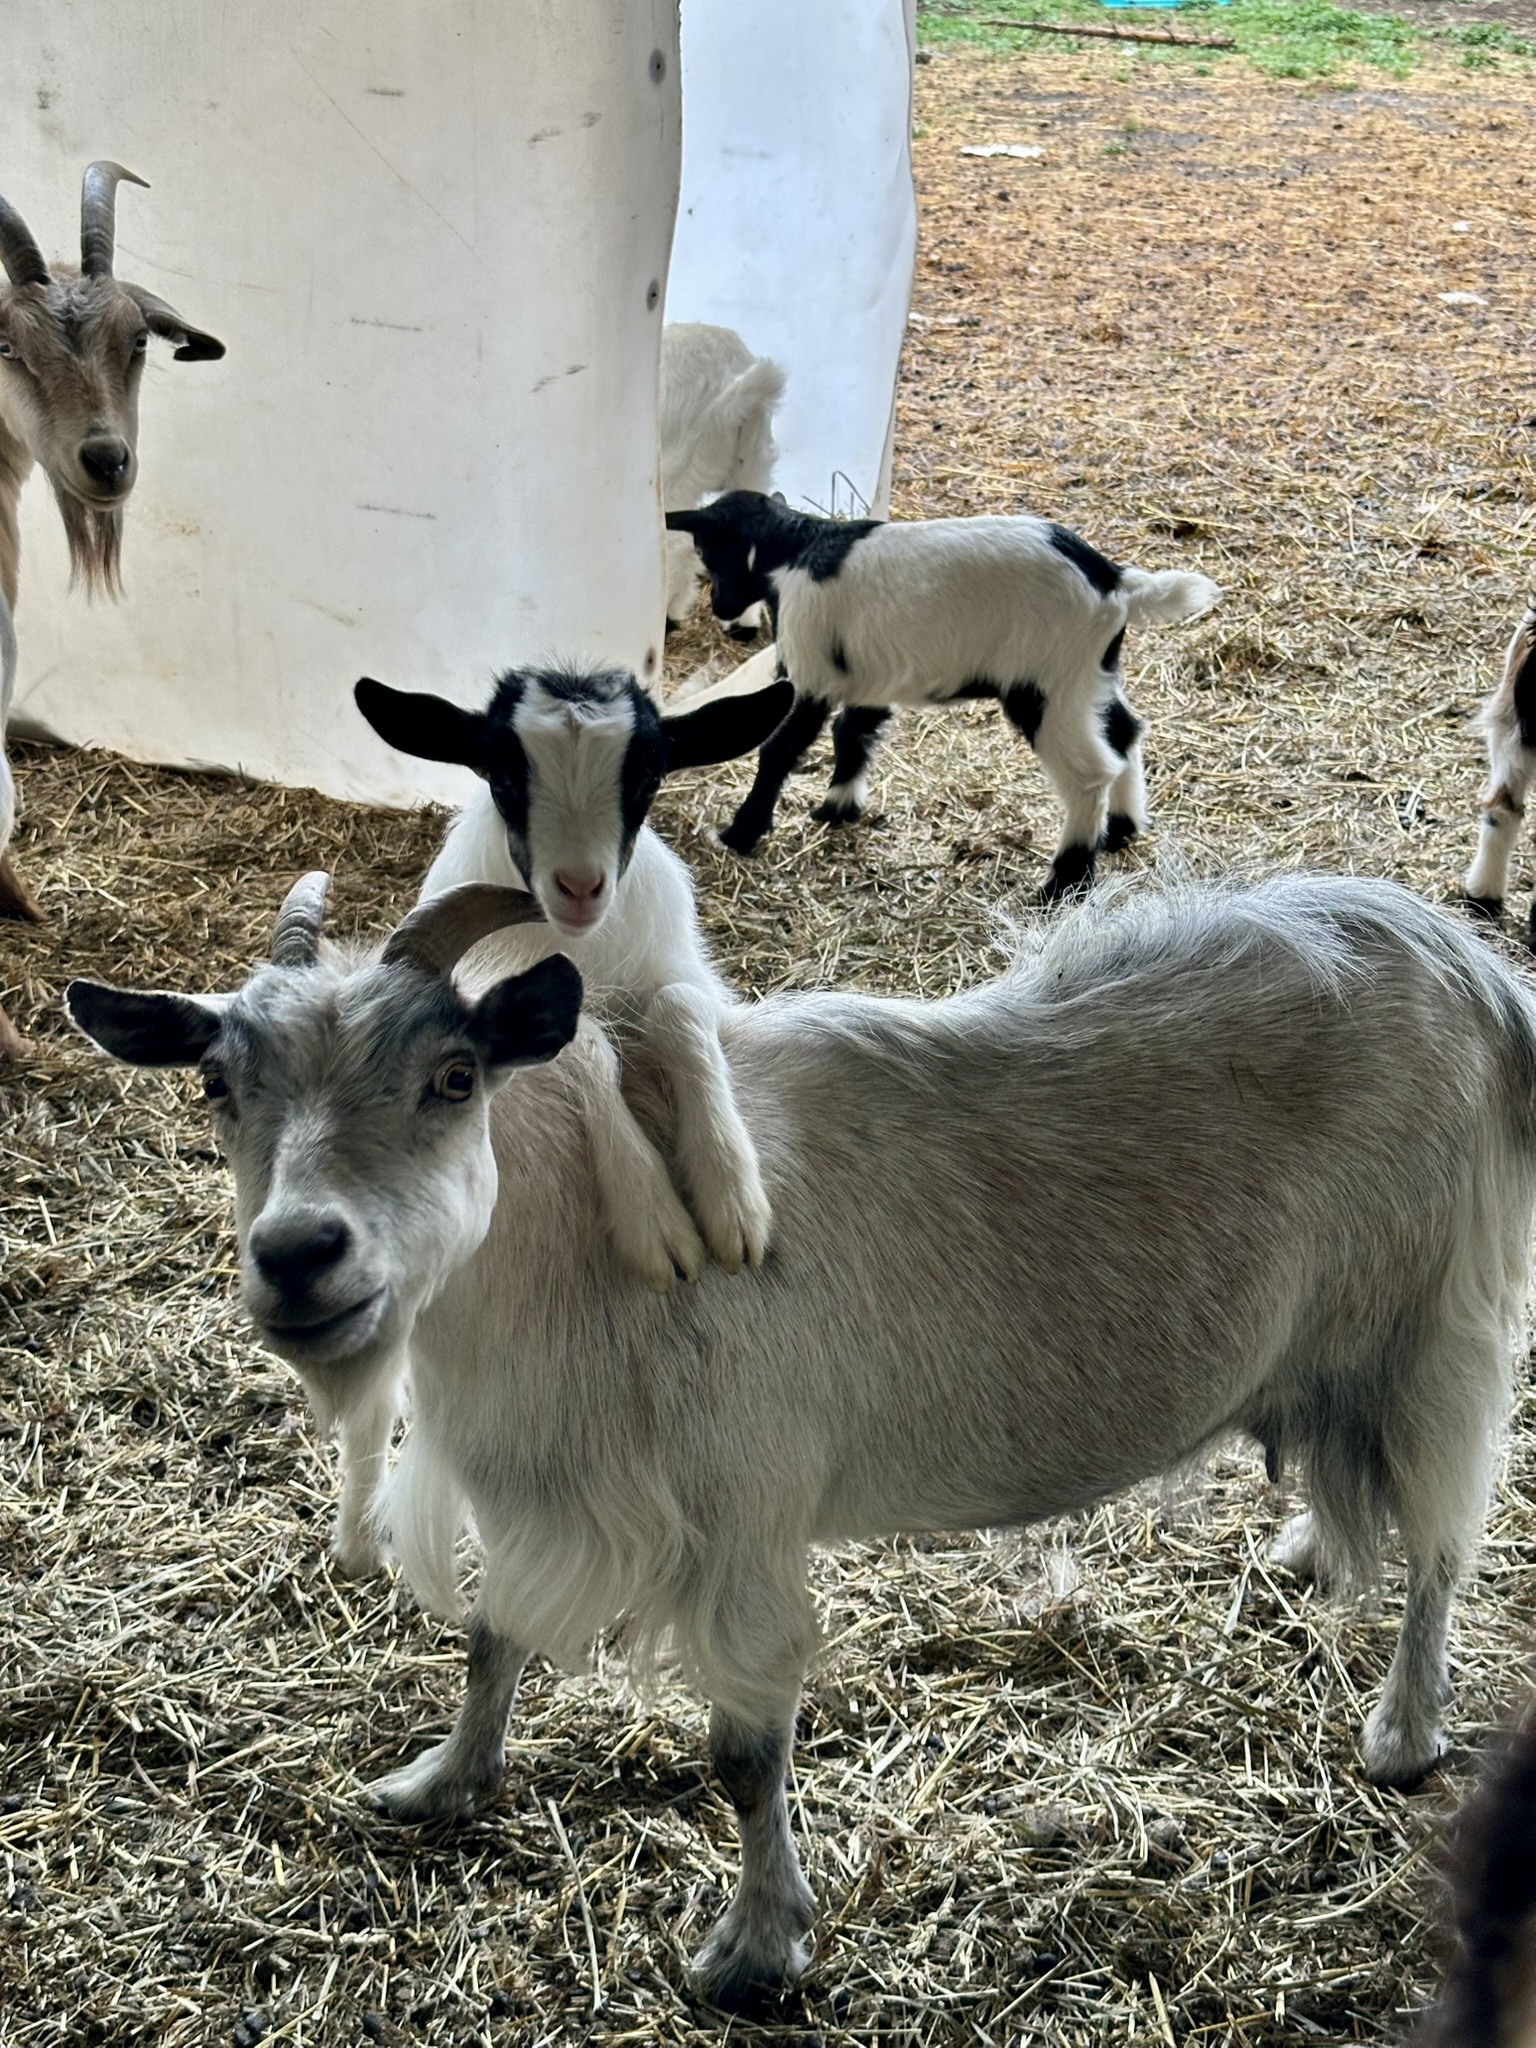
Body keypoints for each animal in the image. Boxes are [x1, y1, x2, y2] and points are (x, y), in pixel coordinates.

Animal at [69, 866, 1534, 2005]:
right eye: (217, 1084)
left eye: (454, 1073)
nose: (299, 1254)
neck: (579, 1247)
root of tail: (1465, 964)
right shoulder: (545, 1489)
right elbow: (490, 1633)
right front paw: (438, 1780)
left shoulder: (742, 1513)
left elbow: (741, 1753)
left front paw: (756, 1948)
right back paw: (1301, 1550)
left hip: (1443, 1328)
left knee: (1446, 1538)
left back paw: (1404, 1732)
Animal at [666, 490, 1221, 901]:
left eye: (707, 552)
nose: (722, 607)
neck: (797, 549)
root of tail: (1113, 581)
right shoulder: (869, 674)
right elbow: (855, 732)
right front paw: (838, 808)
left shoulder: (811, 672)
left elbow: (780, 749)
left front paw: (741, 833)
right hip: (1089, 674)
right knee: (1124, 731)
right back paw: (1122, 828)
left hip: (1046, 684)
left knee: (1089, 774)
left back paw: (1064, 884)